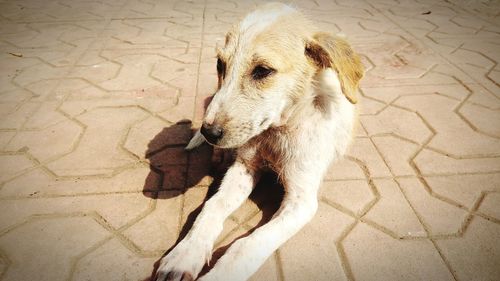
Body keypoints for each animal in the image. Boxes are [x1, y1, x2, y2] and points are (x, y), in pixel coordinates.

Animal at [154, 2, 362, 280]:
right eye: (220, 64)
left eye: (263, 71)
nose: (210, 133)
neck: (276, 132)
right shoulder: (244, 167)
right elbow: (212, 207)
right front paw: (184, 255)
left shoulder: (302, 200)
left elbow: (247, 244)